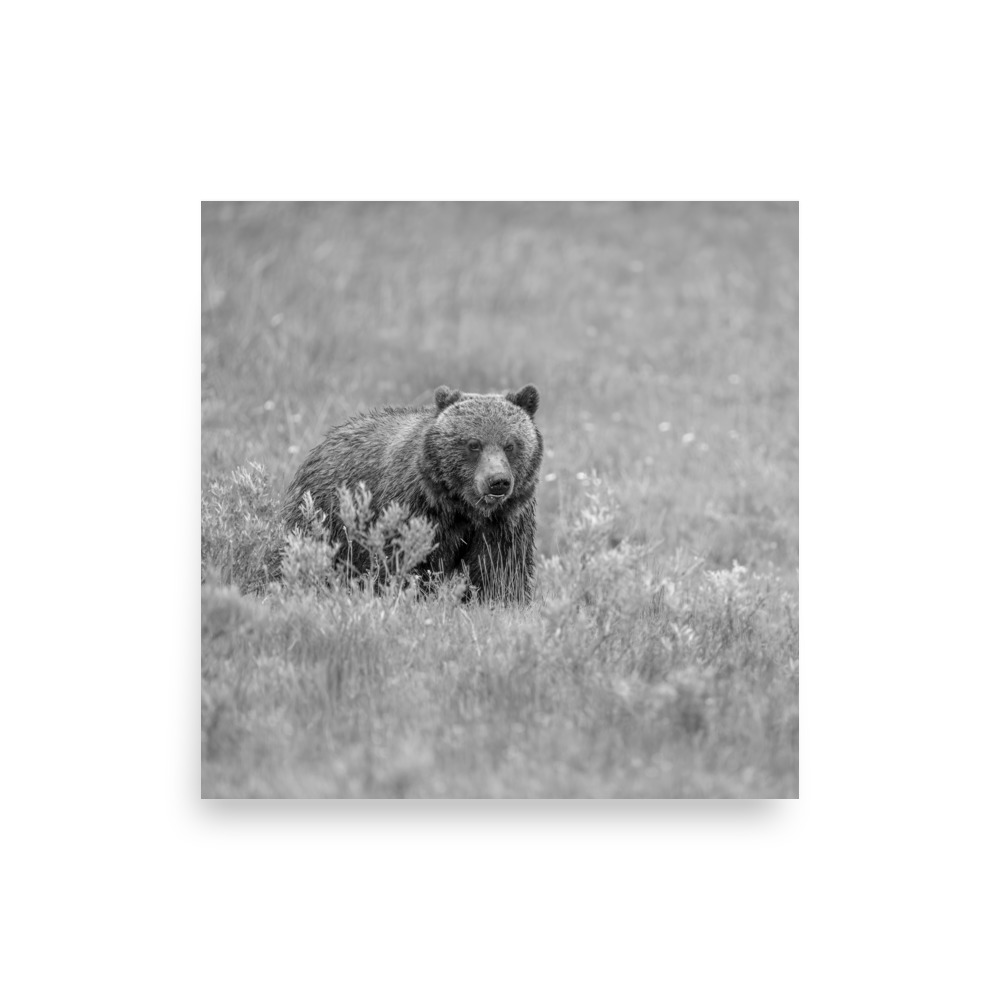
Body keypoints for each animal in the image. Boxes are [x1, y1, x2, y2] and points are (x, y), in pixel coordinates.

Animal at [281, 384, 543, 602]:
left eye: (510, 444)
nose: (497, 481)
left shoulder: (504, 521)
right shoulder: (415, 508)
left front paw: (500, 600)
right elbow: (406, 560)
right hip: (325, 514)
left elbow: (500, 569)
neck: (462, 506)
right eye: (473, 444)